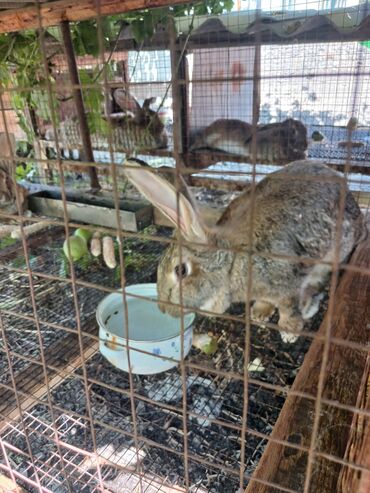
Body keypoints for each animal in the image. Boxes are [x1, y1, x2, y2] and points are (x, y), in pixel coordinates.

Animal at [124, 158, 368, 342]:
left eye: (181, 271)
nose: (164, 309)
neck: (232, 262)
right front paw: (259, 312)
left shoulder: (286, 284)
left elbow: (288, 307)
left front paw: (289, 332)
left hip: (331, 255)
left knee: (318, 283)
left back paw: (308, 307)